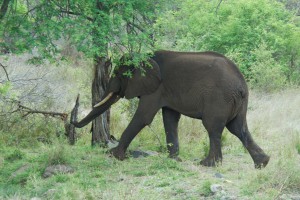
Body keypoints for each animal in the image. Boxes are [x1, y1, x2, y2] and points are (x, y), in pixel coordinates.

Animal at [71, 50, 270, 169]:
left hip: (219, 99)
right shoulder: (166, 92)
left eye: (120, 74)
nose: (72, 122)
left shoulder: (156, 89)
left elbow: (143, 117)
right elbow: (170, 119)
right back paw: (262, 163)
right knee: (238, 128)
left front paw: (113, 155)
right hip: (237, 101)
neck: (145, 55)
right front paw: (173, 159)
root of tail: (241, 83)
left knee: (213, 128)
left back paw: (208, 164)